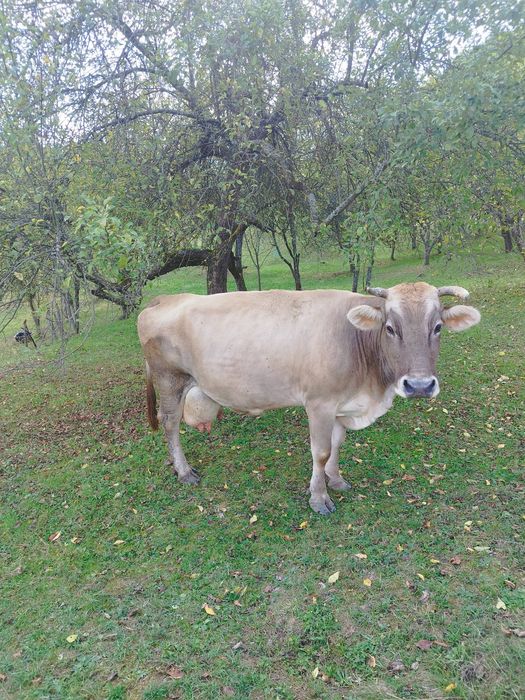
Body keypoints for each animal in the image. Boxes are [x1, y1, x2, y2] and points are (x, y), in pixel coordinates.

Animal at [137, 282, 480, 514]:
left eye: (438, 327)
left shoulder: (342, 404)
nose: (419, 385)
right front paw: (319, 497)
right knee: (170, 424)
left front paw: (336, 480)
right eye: (390, 328)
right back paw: (184, 471)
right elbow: (321, 452)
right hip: (170, 380)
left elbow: (338, 444)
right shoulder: (319, 403)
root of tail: (164, 299)